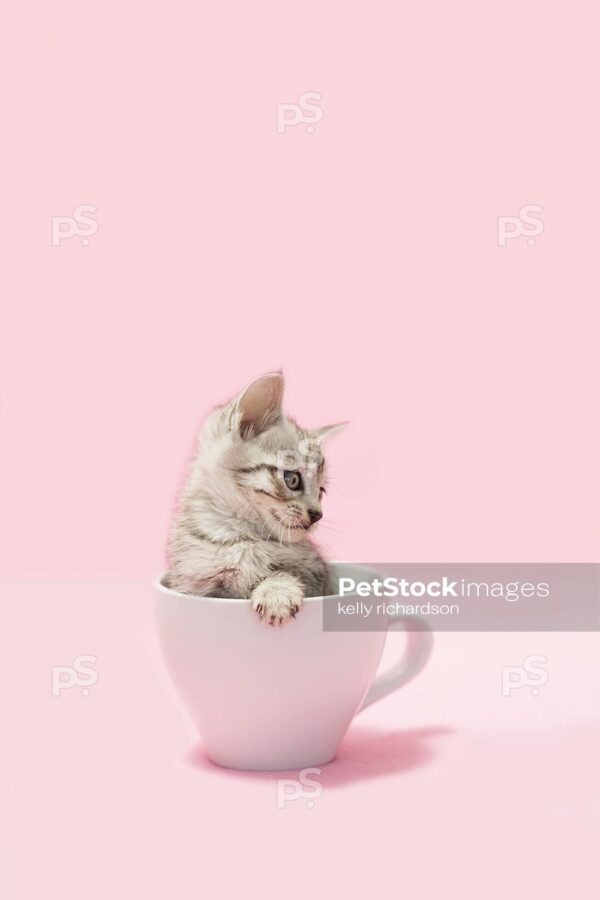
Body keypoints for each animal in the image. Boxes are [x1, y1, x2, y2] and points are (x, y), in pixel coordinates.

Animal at [166, 372, 344, 624]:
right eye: (292, 479)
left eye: (320, 492)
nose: (317, 514)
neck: (242, 538)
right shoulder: (192, 581)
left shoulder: (315, 574)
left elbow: (283, 572)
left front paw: (277, 594)